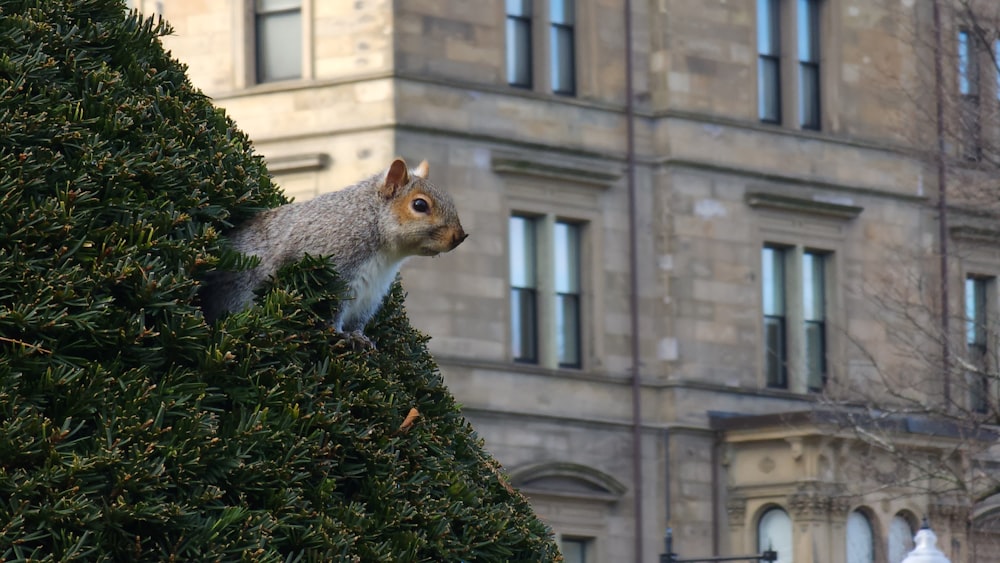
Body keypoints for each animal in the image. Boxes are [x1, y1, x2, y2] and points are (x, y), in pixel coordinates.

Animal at [204, 156, 472, 346]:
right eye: (419, 205)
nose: (460, 237)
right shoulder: (334, 271)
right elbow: (331, 311)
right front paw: (342, 335)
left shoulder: (371, 293)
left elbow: (359, 320)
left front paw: (360, 337)